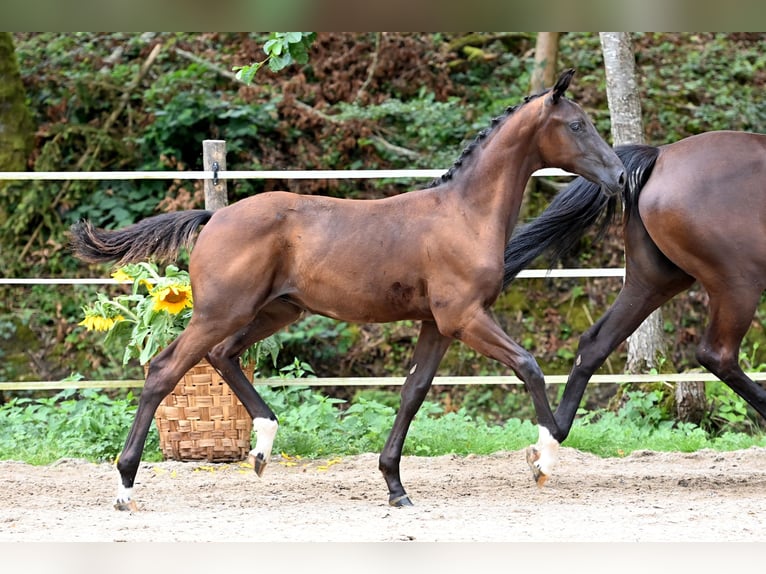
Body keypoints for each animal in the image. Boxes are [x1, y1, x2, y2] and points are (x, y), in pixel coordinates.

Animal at [69, 70, 628, 510]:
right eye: (577, 125)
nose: (621, 176)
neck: (464, 214)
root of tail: (214, 217)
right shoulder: (465, 317)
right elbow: (529, 366)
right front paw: (544, 459)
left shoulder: (438, 324)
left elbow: (412, 394)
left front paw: (396, 487)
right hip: (221, 311)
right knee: (164, 370)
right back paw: (125, 487)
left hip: (274, 312)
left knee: (223, 356)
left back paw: (262, 447)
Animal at [504, 129, 766, 482]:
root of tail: (661, 155)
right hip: (737, 283)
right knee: (717, 354)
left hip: (654, 281)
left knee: (594, 343)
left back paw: (548, 447)